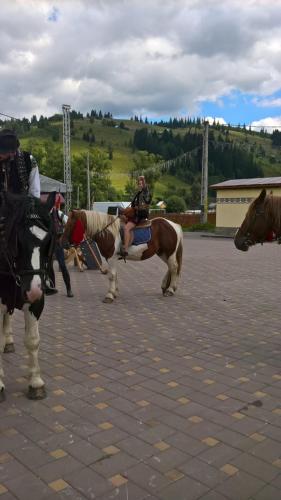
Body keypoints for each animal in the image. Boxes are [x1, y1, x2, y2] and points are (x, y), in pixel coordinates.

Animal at [0, 191, 54, 402]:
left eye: (47, 241)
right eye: (18, 240)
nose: (34, 290)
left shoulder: (35, 304)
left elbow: (32, 340)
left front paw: (36, 383)